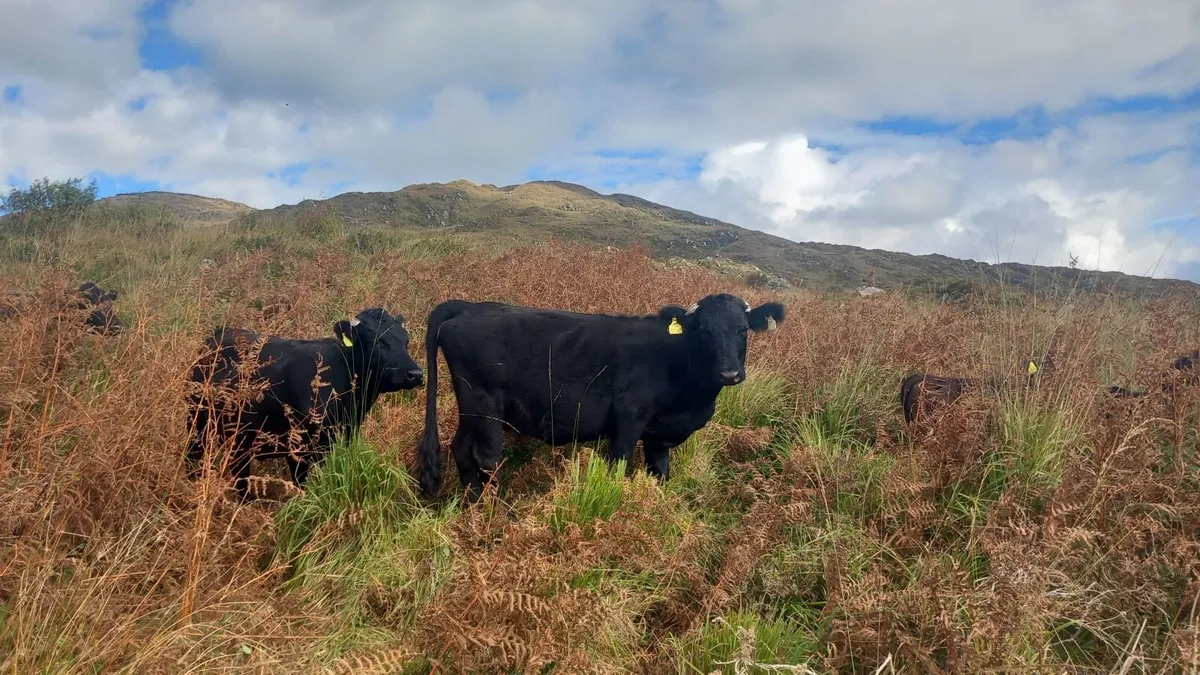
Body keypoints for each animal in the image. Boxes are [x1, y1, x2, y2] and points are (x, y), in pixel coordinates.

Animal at [415, 293, 786, 502]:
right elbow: (618, 465)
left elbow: (659, 474)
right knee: (487, 458)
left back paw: (474, 507)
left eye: (743, 330)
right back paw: (503, 514)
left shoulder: (658, 435)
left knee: (461, 448)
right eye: (704, 331)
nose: (729, 374)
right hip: (486, 404)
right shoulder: (629, 418)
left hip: (471, 408)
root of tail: (468, 307)